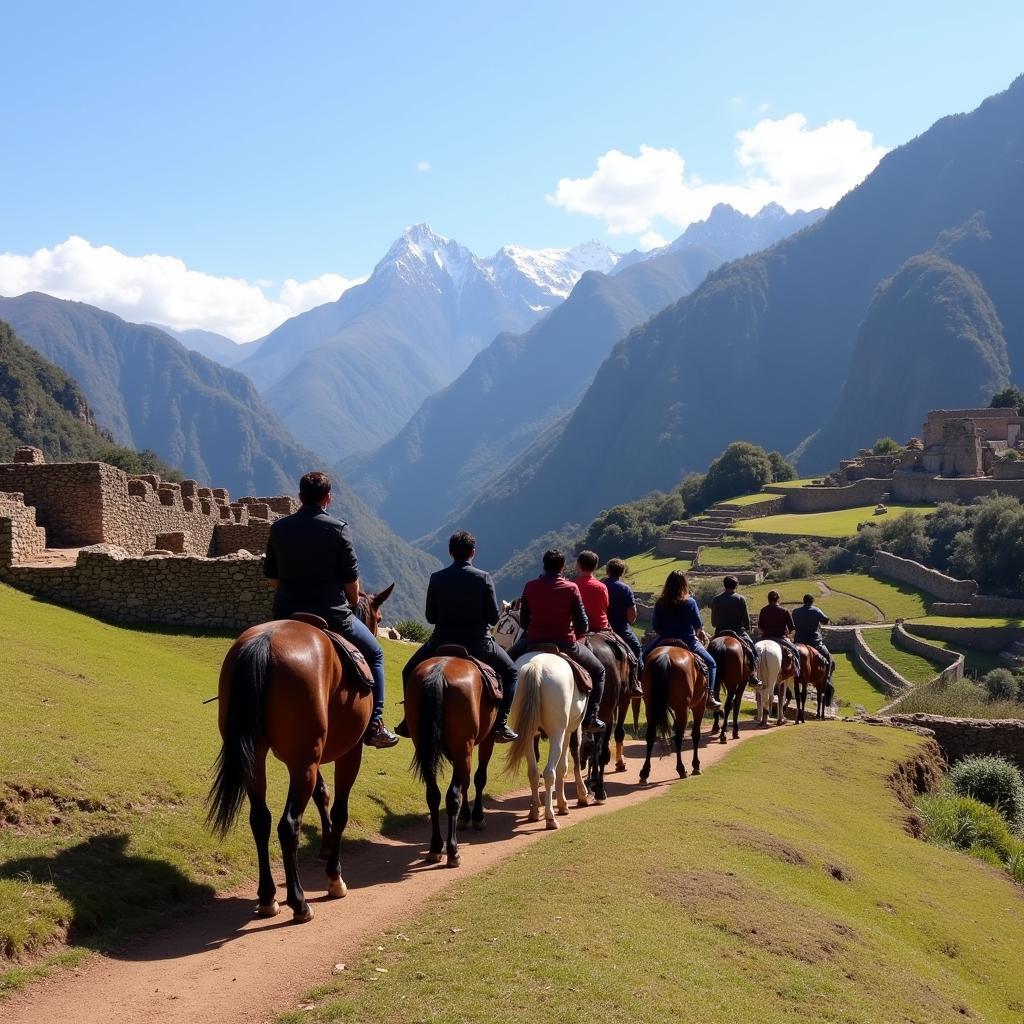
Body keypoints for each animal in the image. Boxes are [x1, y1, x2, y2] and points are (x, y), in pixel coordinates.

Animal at [207, 581, 395, 925]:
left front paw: (326, 845)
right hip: (303, 762)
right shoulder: (347, 754)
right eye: (378, 617)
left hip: (262, 758)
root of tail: (264, 643)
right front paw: (334, 876)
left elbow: (322, 794)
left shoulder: (311, 756)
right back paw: (299, 903)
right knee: (287, 825)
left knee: (261, 820)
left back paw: (268, 897)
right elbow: (340, 810)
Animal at [407, 655, 503, 864]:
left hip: (426, 749)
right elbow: (479, 778)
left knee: (433, 794)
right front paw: (476, 817)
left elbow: (465, 782)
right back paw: (453, 850)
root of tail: (439, 671)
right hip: (463, 748)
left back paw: (436, 847)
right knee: (452, 796)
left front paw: (465, 817)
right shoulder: (487, 739)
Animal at [501, 651, 585, 827]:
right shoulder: (569, 731)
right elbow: (564, 766)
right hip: (557, 733)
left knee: (533, 772)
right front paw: (565, 803)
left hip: (525, 734)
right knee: (549, 773)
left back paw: (534, 812)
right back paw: (550, 817)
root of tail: (537, 666)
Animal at [634, 647, 708, 782]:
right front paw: (696, 765)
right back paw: (681, 769)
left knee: (650, 736)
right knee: (678, 738)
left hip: (650, 707)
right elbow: (696, 734)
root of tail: (665, 656)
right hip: (682, 709)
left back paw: (645, 773)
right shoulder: (700, 705)